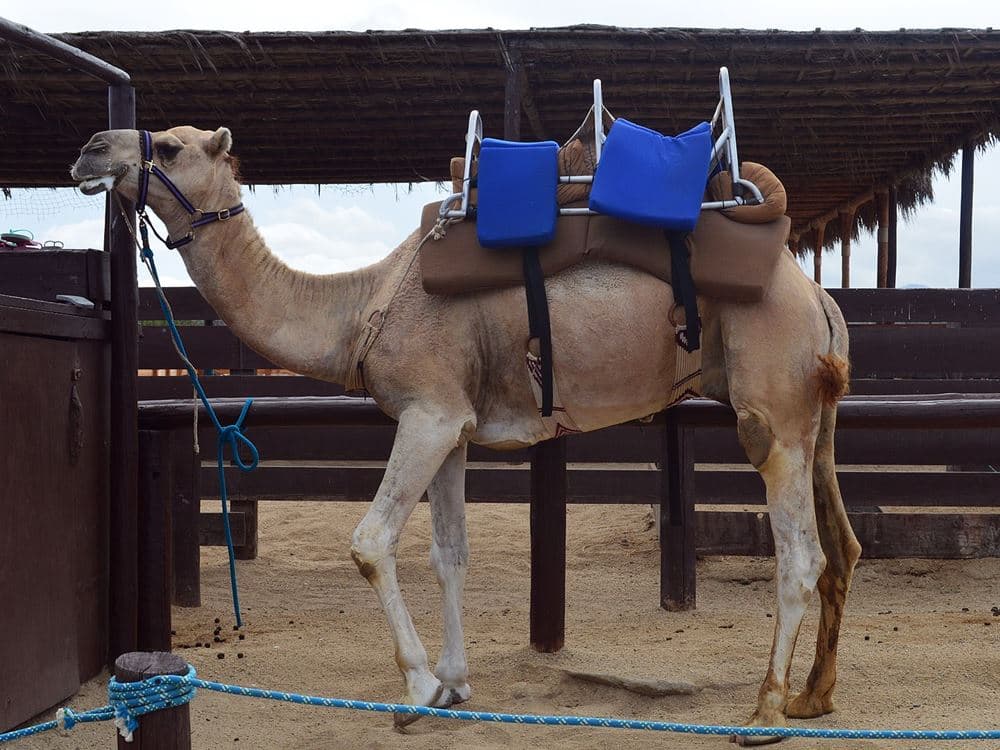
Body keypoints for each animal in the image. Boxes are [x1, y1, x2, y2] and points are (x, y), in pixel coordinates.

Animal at [72, 125, 859, 742]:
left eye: (169, 147)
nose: (88, 151)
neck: (362, 304)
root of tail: (817, 297)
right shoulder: (451, 423)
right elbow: (449, 553)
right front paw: (453, 685)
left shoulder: (426, 414)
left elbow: (370, 541)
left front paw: (417, 690)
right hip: (815, 417)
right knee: (842, 545)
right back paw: (814, 697)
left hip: (771, 409)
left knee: (800, 554)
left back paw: (764, 711)